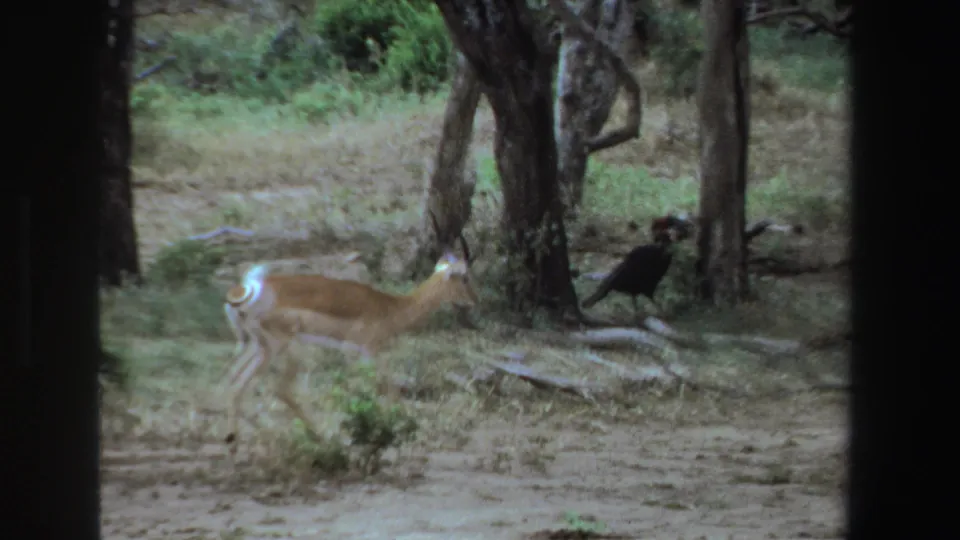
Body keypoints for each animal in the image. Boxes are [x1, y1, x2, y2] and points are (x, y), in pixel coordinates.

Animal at [221, 225, 477, 457]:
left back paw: (236, 440)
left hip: (256, 346)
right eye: (464, 277)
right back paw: (318, 438)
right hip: (284, 348)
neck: (392, 307)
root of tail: (243, 291)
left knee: (234, 379)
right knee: (276, 388)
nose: (473, 300)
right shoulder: (364, 351)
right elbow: (383, 389)